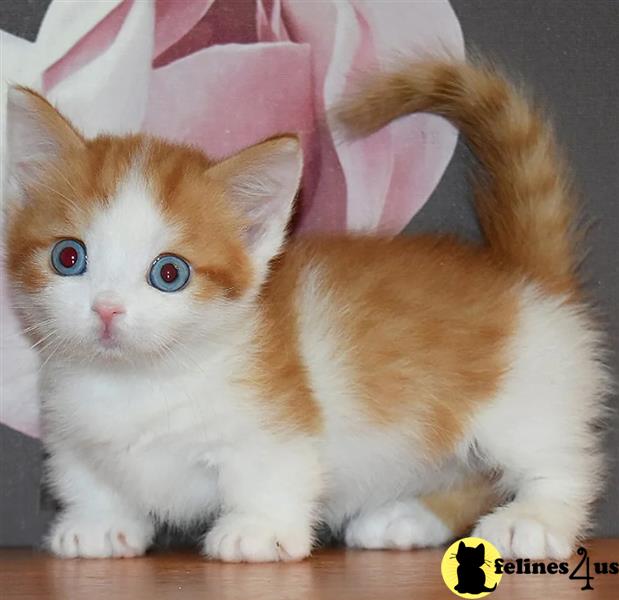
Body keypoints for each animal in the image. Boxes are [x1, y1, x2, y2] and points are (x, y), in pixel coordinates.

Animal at [2, 61, 608, 564]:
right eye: (68, 257)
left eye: (169, 273)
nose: (106, 309)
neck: (140, 380)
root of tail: (523, 271)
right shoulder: (72, 431)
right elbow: (87, 477)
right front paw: (98, 525)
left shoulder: (277, 414)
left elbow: (272, 469)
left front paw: (258, 530)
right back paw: (404, 517)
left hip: (524, 396)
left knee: (560, 460)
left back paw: (535, 520)